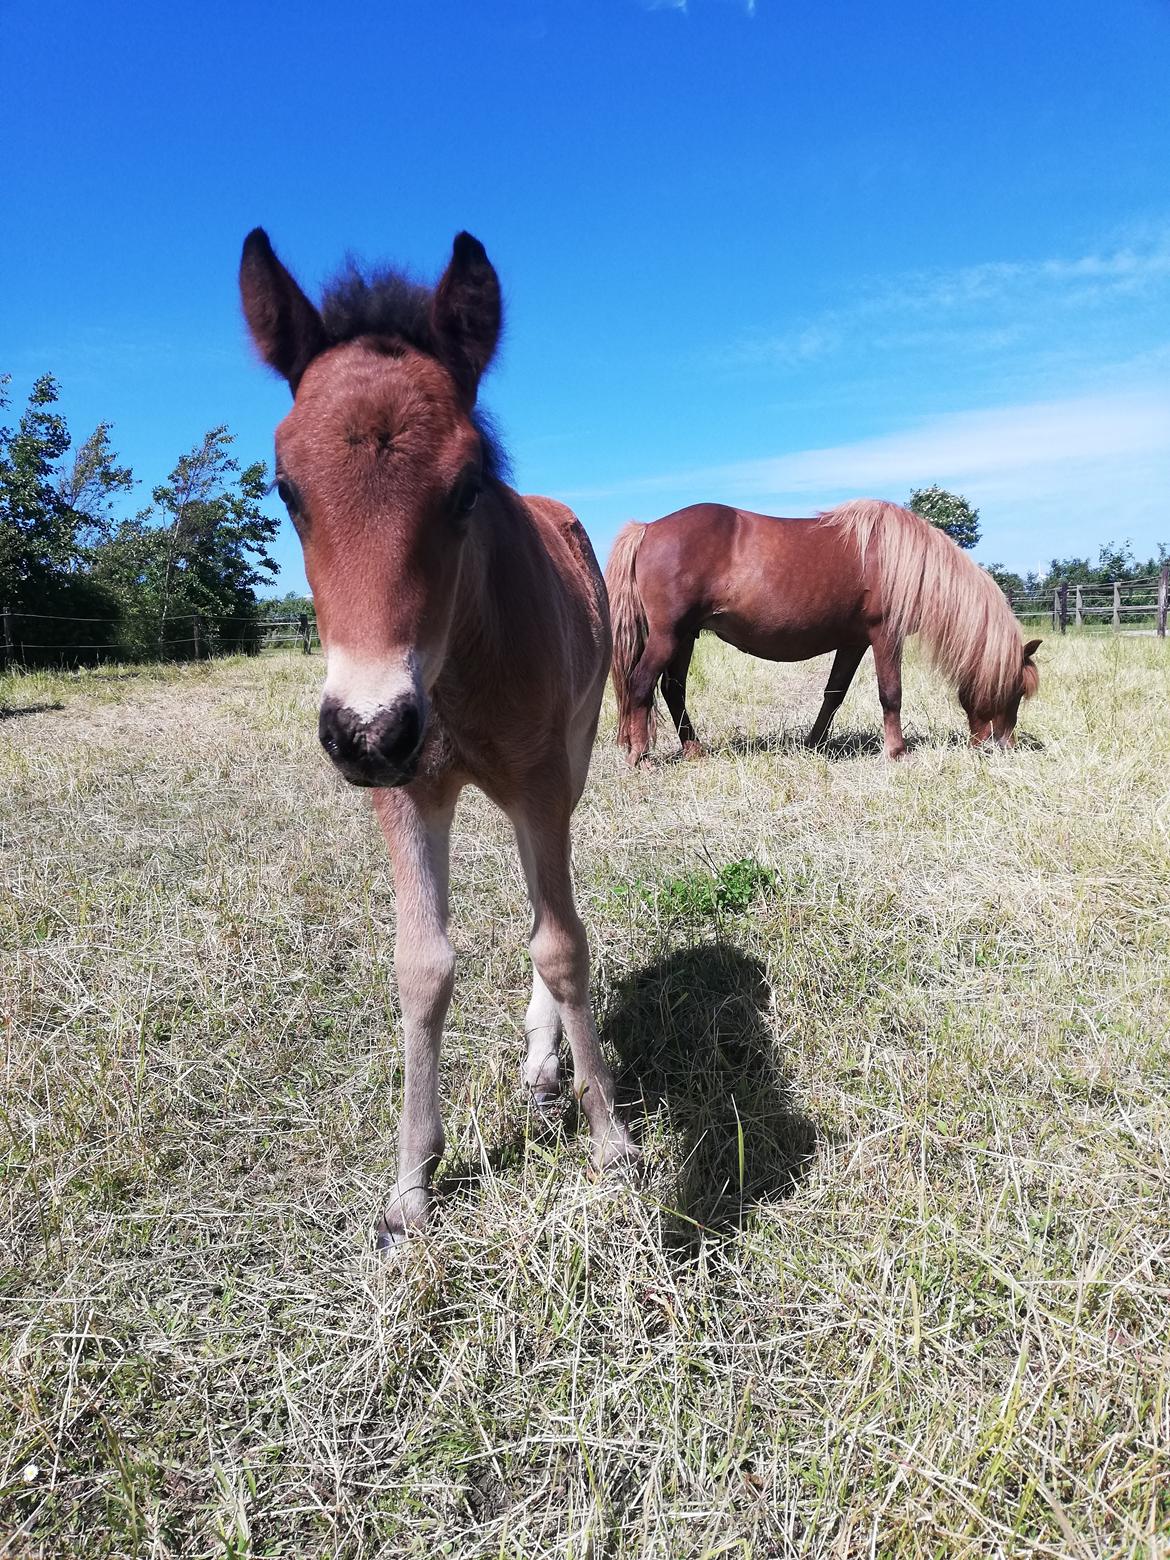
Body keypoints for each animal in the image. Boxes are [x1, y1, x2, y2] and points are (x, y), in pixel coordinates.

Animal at [240, 226, 642, 1241]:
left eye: (466, 489)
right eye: (285, 488)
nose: (369, 731)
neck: (454, 670)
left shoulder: (539, 782)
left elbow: (562, 943)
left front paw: (613, 1141)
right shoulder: (407, 793)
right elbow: (422, 966)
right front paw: (410, 1185)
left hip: (572, 758)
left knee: (550, 908)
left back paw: (546, 1064)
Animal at [605, 499, 1042, 761]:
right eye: (1016, 691)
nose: (1000, 746)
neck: (897, 559)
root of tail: (648, 528)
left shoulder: (853, 642)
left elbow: (834, 694)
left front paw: (814, 744)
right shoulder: (885, 635)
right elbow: (891, 693)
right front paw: (896, 752)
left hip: (686, 636)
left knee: (672, 689)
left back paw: (693, 749)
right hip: (669, 635)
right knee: (641, 683)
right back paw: (640, 756)